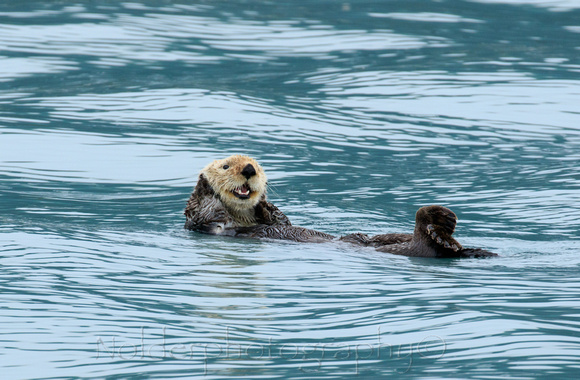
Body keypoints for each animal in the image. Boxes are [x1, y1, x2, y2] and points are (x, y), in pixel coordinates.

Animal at [184, 156, 496, 256]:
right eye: (226, 166)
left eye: (258, 167)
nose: (249, 170)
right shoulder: (206, 221)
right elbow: (207, 210)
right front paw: (206, 187)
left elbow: (280, 220)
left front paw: (265, 204)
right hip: (411, 248)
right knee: (425, 245)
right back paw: (439, 225)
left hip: (380, 238)